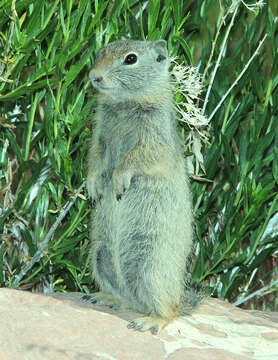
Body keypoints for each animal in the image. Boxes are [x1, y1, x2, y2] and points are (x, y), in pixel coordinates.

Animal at [83, 39, 201, 334]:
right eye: (101, 51)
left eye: (131, 59)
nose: (94, 76)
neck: (126, 103)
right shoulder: (100, 137)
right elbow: (96, 159)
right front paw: (94, 187)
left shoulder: (153, 140)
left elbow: (134, 159)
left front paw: (118, 181)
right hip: (100, 257)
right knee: (124, 297)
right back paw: (104, 297)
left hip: (149, 269)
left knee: (168, 311)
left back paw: (150, 321)